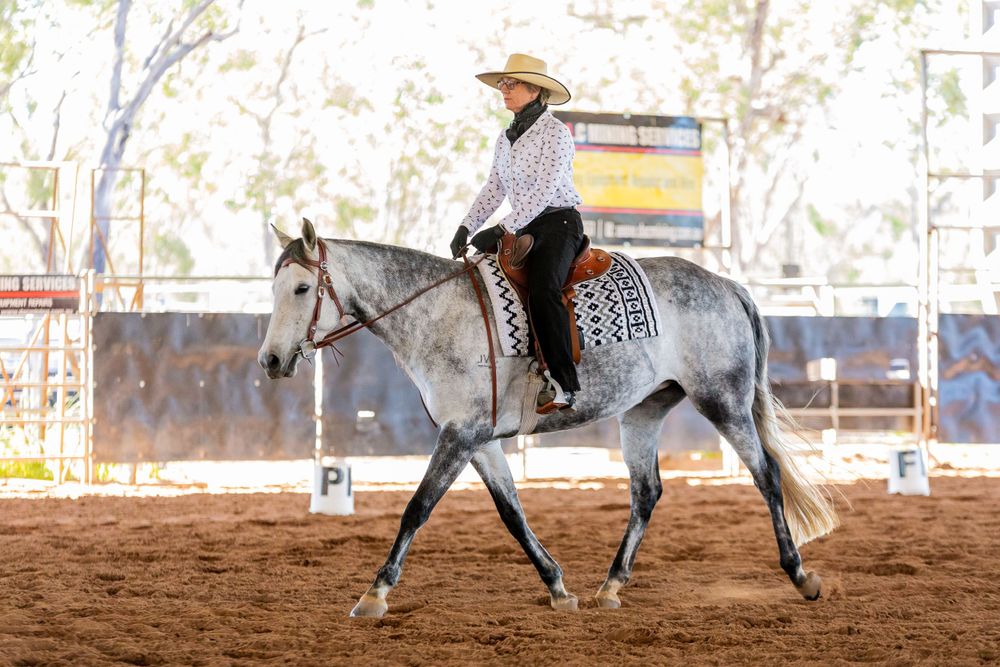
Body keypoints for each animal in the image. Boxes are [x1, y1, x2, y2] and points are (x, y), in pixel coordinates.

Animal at [258, 218, 838, 617]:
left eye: (303, 289)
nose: (270, 359)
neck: (438, 314)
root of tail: (727, 285)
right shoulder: (480, 441)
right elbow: (511, 513)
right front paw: (558, 587)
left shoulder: (460, 435)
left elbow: (416, 509)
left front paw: (375, 593)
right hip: (643, 410)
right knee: (646, 492)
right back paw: (611, 585)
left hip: (723, 400)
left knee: (767, 474)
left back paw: (800, 575)